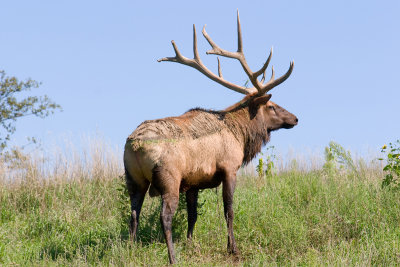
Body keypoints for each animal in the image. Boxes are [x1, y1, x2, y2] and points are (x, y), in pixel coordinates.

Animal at [123, 11, 298, 264]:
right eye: (272, 106)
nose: (295, 118)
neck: (240, 135)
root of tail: (135, 145)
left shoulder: (193, 181)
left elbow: (193, 215)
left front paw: (190, 244)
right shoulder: (229, 167)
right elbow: (229, 210)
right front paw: (233, 249)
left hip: (133, 178)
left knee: (133, 214)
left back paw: (130, 250)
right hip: (168, 176)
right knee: (165, 216)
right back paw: (172, 258)